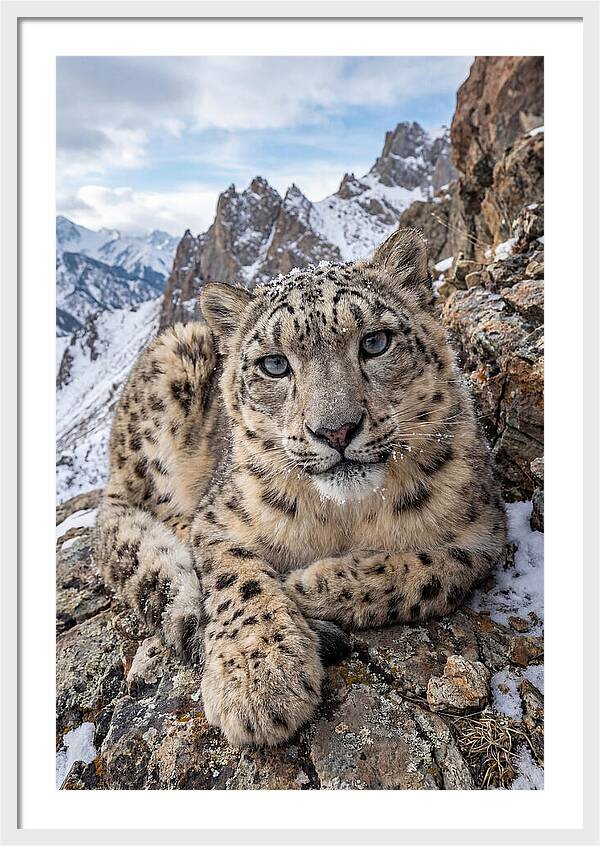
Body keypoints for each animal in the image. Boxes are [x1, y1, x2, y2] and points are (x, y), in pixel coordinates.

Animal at [96, 228, 506, 747]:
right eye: (274, 364)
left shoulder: (483, 532)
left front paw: (306, 585)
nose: (336, 430)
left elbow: (429, 572)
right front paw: (259, 679)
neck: (345, 516)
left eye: (375, 341)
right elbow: (238, 580)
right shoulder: (219, 520)